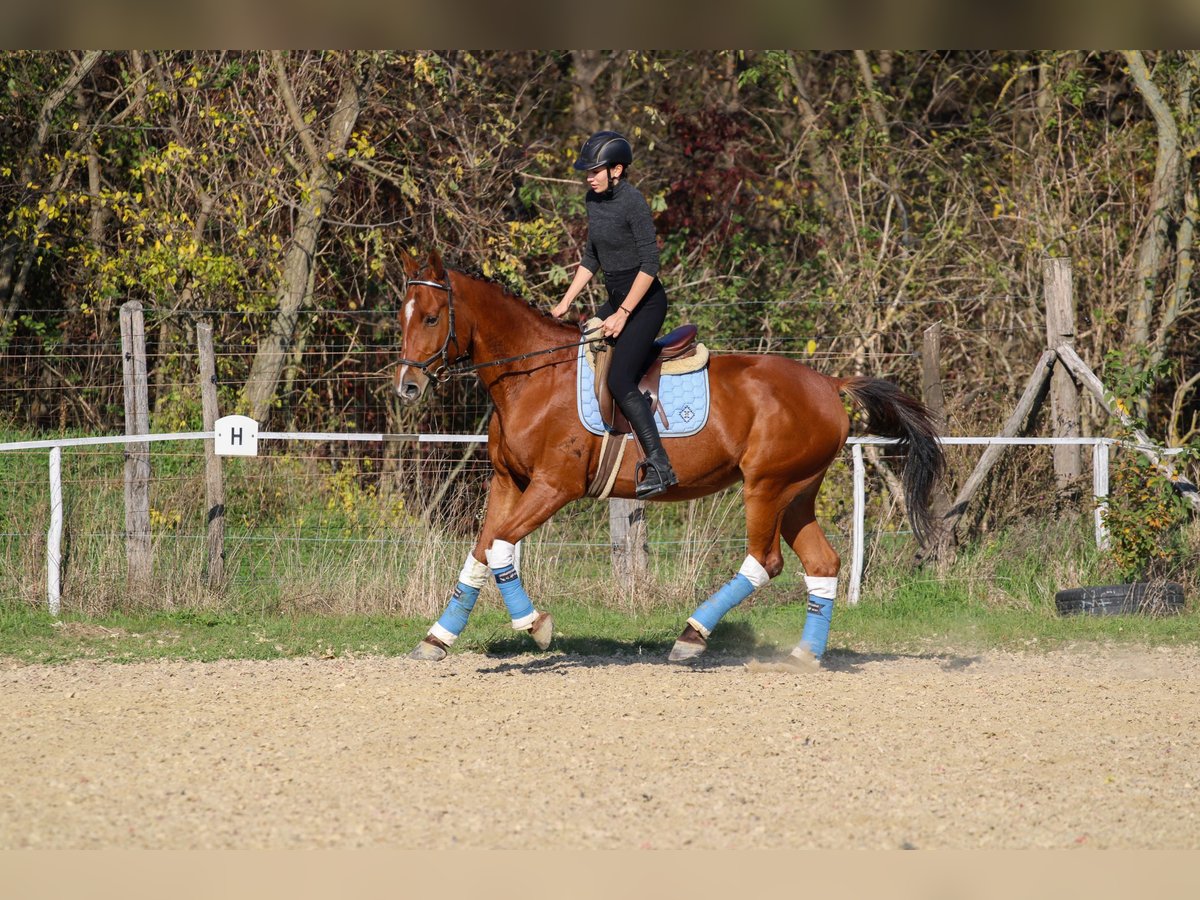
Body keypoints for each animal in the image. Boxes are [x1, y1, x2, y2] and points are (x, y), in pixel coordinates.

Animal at [398, 250, 940, 667]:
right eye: (402, 317)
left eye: (431, 318)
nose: (406, 386)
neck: (533, 375)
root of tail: (828, 383)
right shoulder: (508, 481)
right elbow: (480, 551)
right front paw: (437, 638)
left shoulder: (555, 487)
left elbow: (500, 548)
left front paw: (535, 625)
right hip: (797, 493)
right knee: (822, 563)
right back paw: (803, 656)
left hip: (767, 486)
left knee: (764, 561)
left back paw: (691, 636)